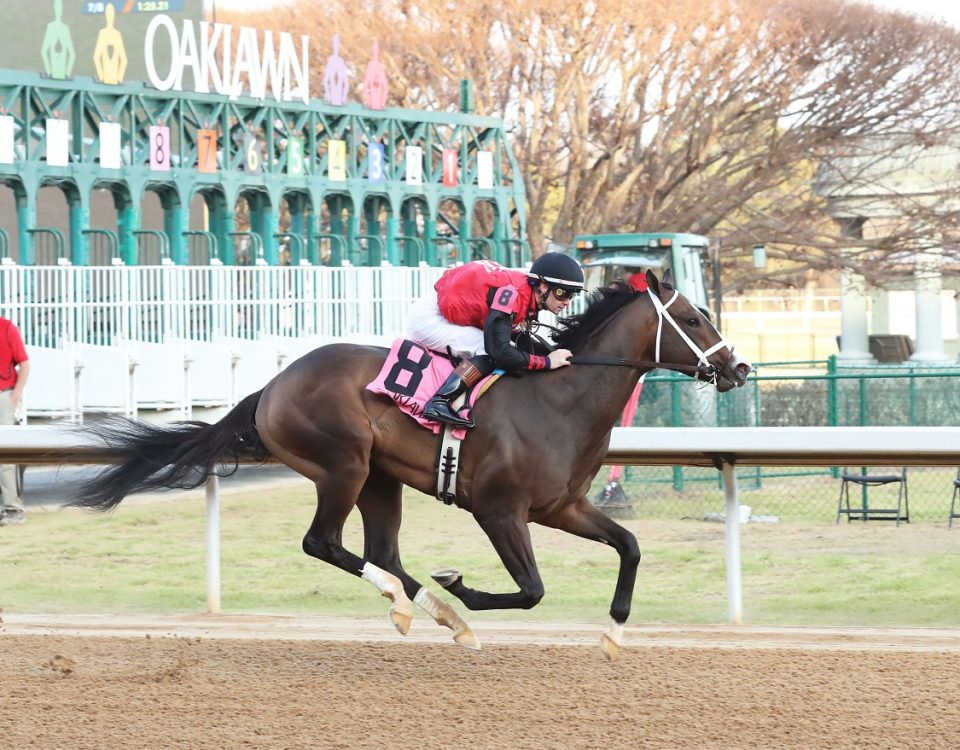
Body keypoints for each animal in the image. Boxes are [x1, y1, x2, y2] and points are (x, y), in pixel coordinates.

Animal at [73, 274, 752, 660]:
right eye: (693, 319)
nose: (739, 367)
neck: (560, 398)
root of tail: (269, 388)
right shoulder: (498, 510)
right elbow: (530, 590)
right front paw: (464, 587)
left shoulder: (563, 506)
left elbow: (630, 545)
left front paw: (613, 635)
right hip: (342, 466)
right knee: (325, 543)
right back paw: (412, 605)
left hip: (381, 478)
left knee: (384, 553)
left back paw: (438, 614)